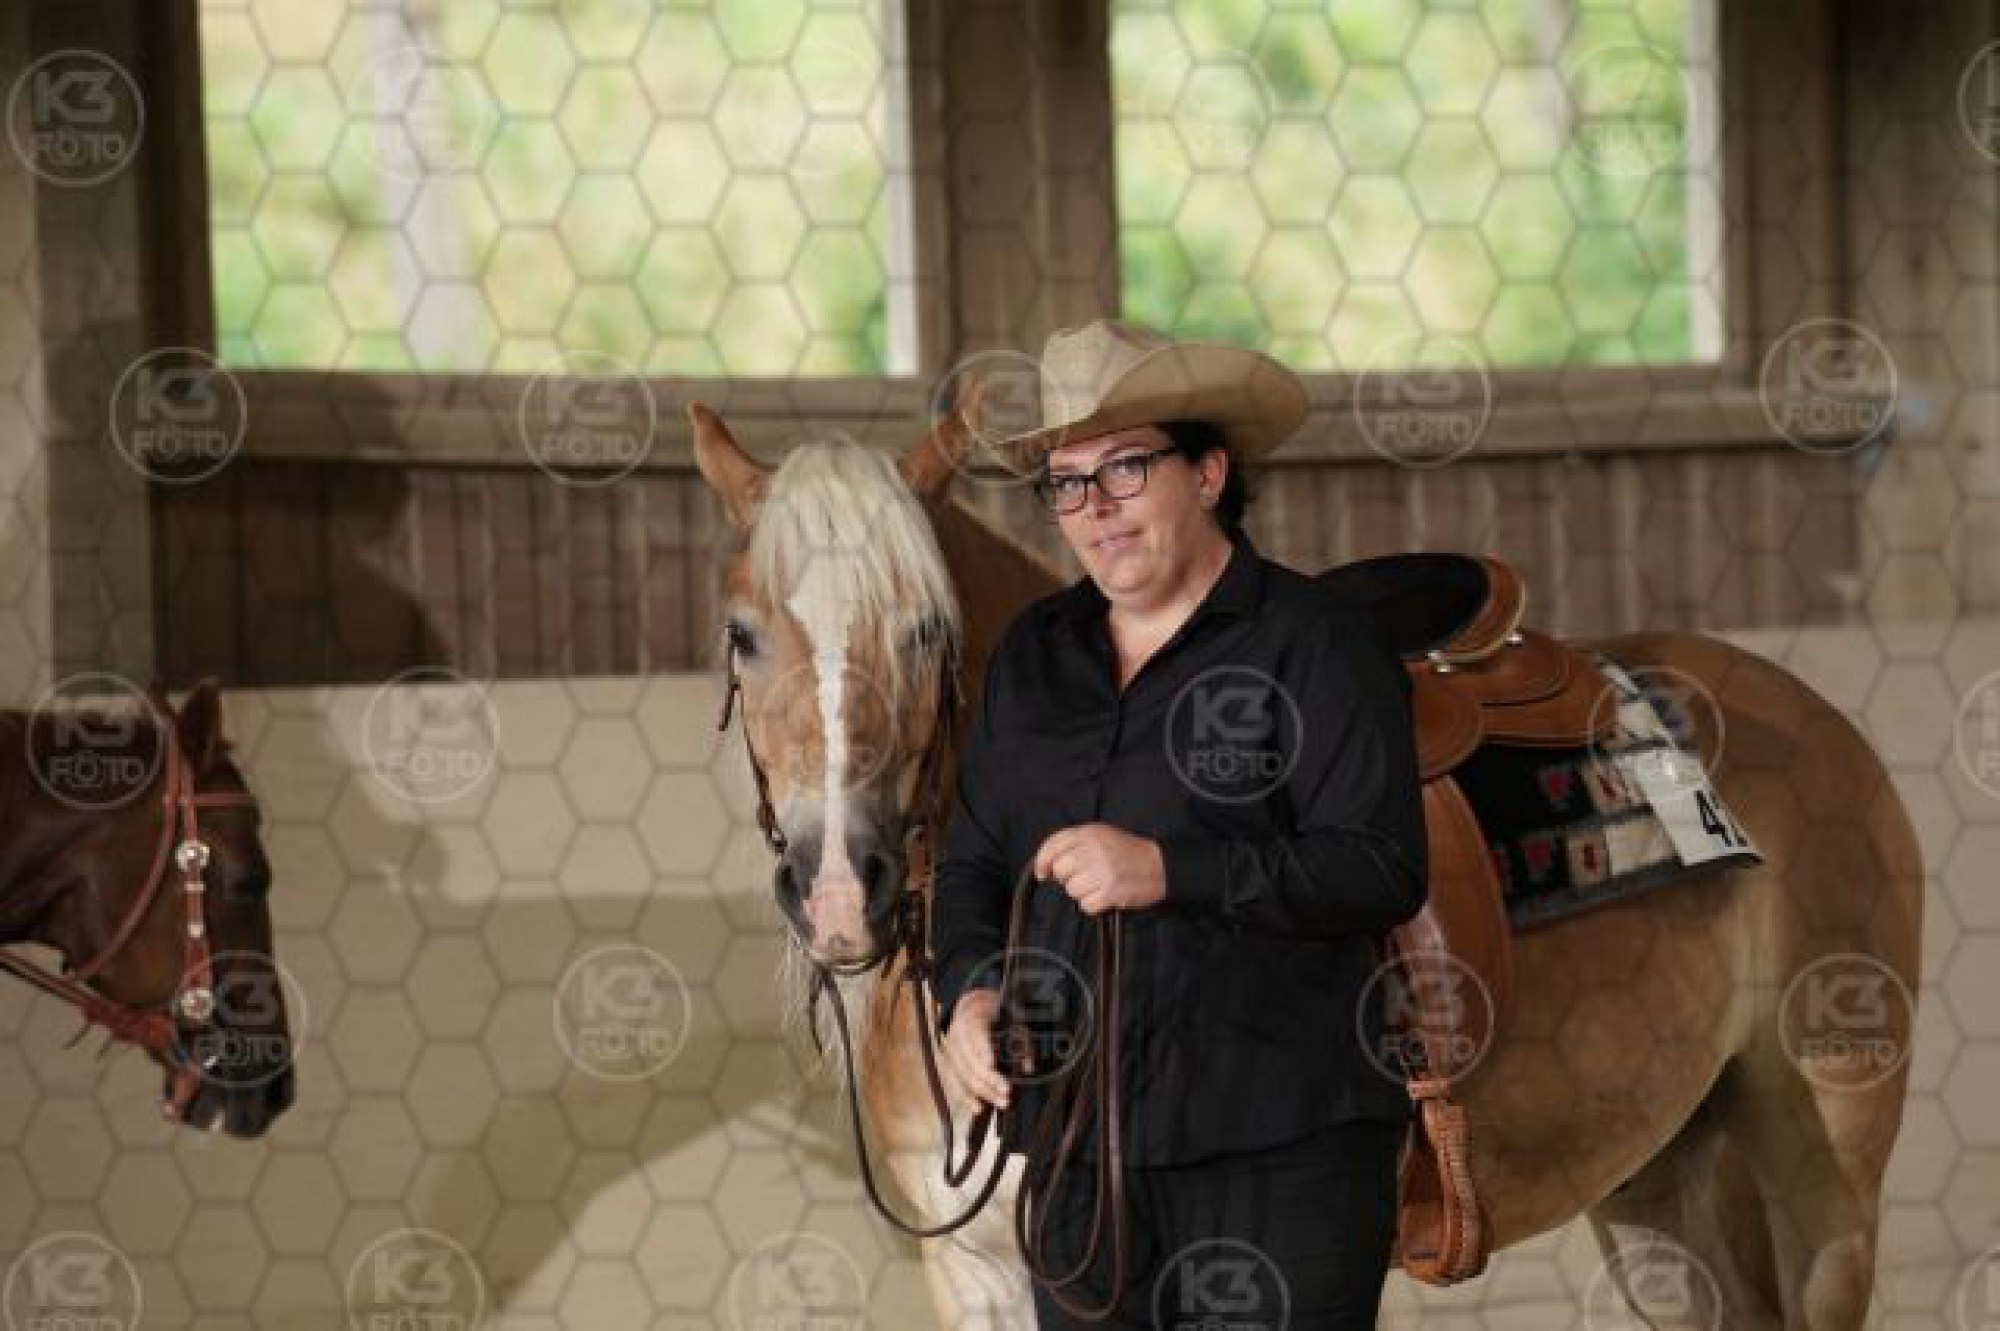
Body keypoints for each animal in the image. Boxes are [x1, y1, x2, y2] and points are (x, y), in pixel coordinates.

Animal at [691, 403, 1923, 1331]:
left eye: (925, 632)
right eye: (742, 634)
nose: (840, 887)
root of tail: (1808, 716)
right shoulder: (984, 1273)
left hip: (1828, 1168)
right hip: (1657, 1178)